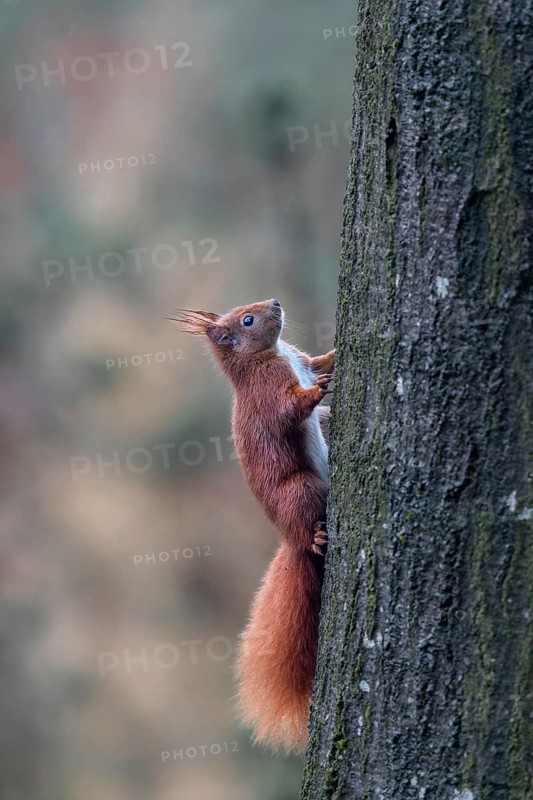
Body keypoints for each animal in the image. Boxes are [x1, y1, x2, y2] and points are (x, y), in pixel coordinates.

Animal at [174, 298, 335, 753]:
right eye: (247, 320)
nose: (275, 303)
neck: (269, 356)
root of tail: (290, 539)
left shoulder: (300, 360)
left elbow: (316, 361)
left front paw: (335, 356)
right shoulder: (268, 392)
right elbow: (288, 410)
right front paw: (316, 392)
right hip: (301, 490)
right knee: (309, 522)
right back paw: (317, 536)